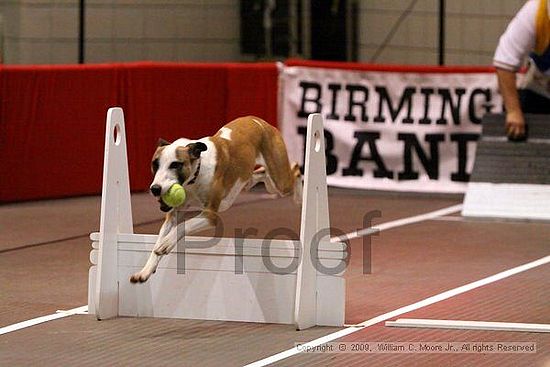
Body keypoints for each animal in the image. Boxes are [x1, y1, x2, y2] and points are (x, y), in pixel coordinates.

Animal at [130, 116, 302, 284]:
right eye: (155, 164)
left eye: (176, 165)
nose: (155, 188)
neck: (195, 175)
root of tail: (262, 122)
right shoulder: (172, 216)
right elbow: (159, 241)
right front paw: (145, 271)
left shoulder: (210, 215)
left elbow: (184, 225)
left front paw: (166, 243)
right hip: (267, 182)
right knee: (261, 174)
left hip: (280, 182)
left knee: (294, 170)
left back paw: (299, 195)